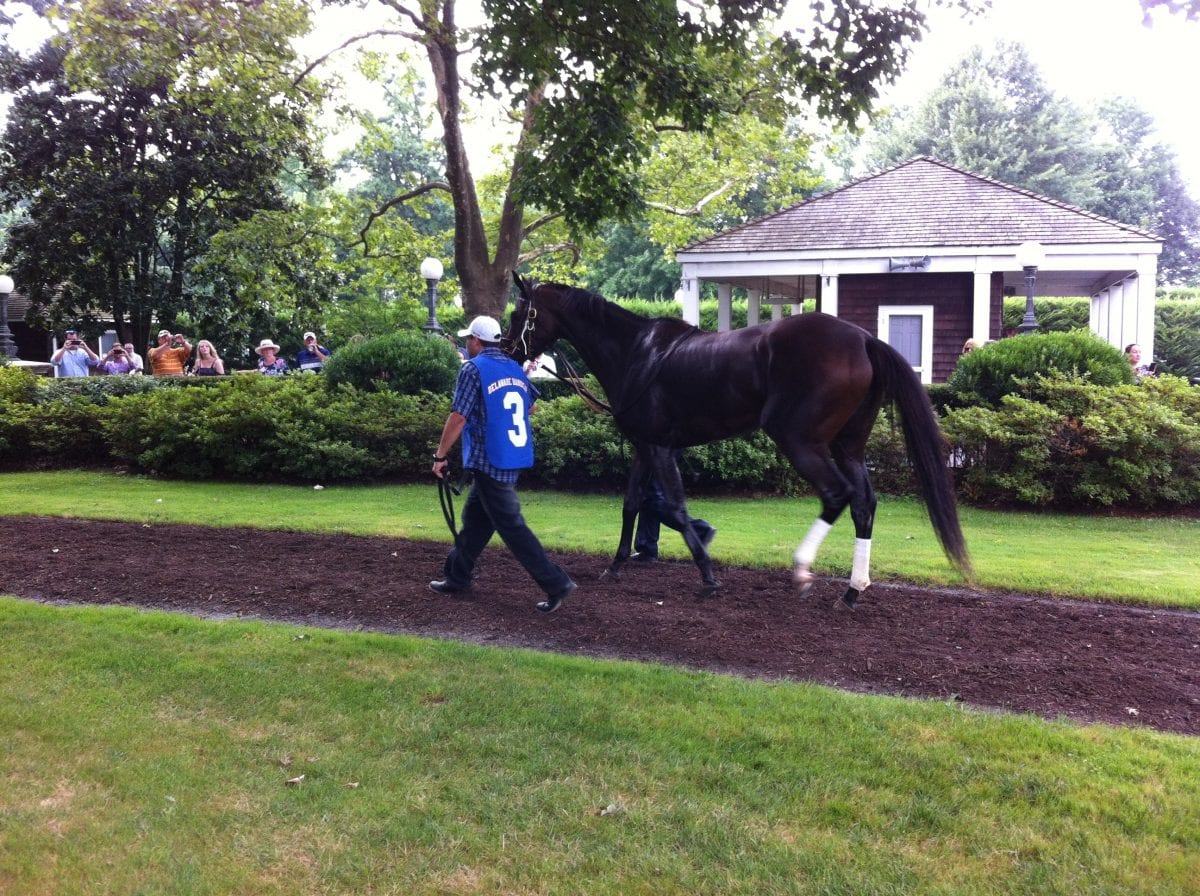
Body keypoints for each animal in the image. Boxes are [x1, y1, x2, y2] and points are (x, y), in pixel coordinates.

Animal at [501, 277, 969, 606]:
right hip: (848, 444)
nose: (506, 349)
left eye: (520, 313)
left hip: (799, 439)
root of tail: (864, 339)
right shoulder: (644, 444)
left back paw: (802, 571)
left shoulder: (660, 447)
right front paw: (615, 566)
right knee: (863, 503)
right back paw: (853, 589)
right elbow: (632, 503)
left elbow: (675, 507)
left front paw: (708, 577)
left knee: (837, 494)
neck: (636, 352)